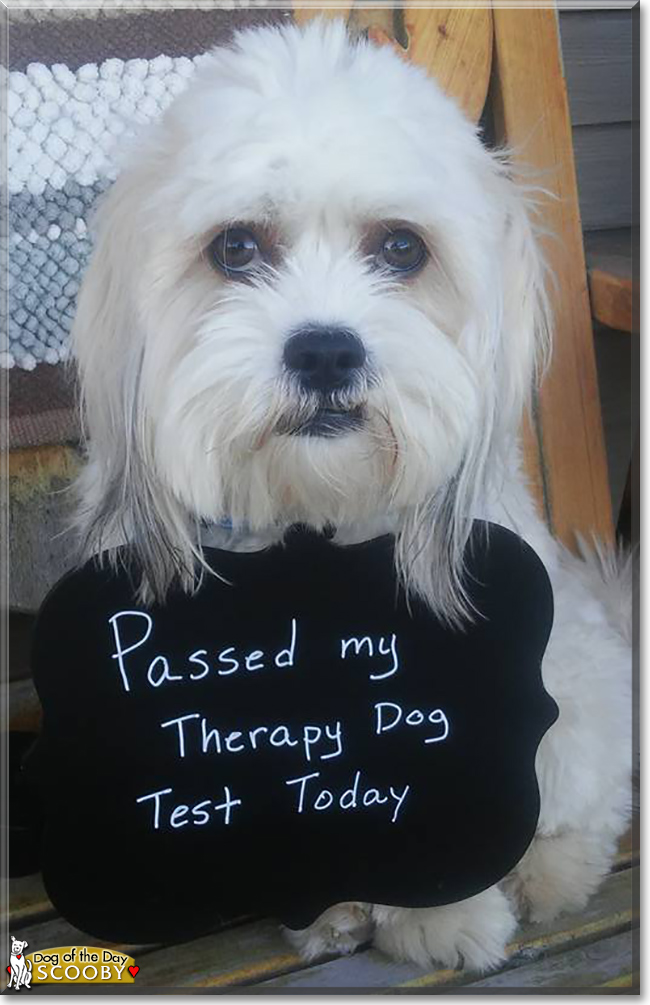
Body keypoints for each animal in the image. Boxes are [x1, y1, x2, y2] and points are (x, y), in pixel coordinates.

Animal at [69, 17, 630, 972]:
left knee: (585, 801)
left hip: (578, 699)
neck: (317, 520)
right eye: (236, 248)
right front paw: (330, 905)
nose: (325, 350)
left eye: (402, 247)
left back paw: (550, 875)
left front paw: (441, 913)